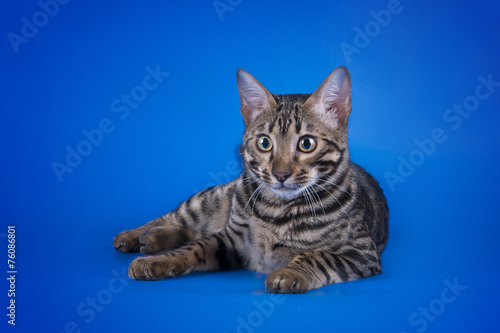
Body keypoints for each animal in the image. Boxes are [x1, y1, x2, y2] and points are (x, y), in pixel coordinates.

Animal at [114, 66, 390, 292]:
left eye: (307, 143)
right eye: (264, 143)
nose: (280, 174)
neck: (277, 212)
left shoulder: (360, 252)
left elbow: (316, 256)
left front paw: (289, 273)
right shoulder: (230, 240)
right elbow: (193, 249)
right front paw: (158, 261)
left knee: (192, 230)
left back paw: (151, 239)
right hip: (210, 200)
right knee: (177, 218)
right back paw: (136, 236)